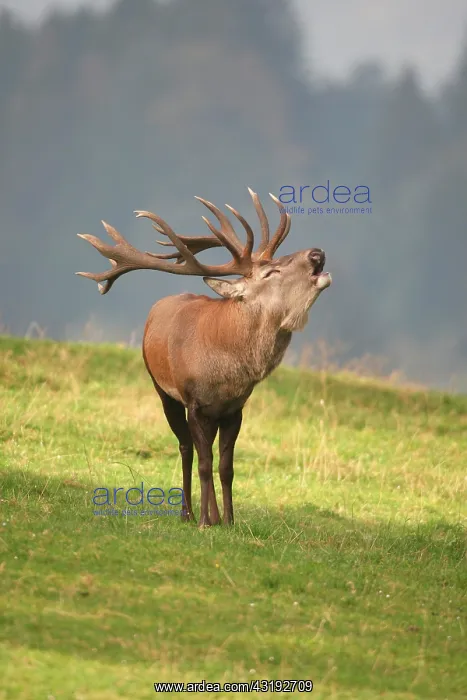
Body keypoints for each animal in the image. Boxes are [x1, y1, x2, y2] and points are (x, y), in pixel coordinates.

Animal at [76, 188, 332, 527]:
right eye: (272, 271)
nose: (317, 253)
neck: (226, 373)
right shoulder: (196, 403)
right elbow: (204, 462)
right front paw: (204, 523)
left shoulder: (234, 409)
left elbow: (225, 467)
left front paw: (230, 520)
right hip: (164, 391)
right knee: (186, 448)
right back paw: (188, 513)